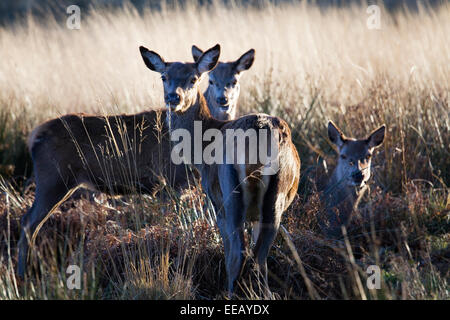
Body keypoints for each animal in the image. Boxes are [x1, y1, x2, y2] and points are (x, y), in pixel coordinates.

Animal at [140, 43, 302, 296]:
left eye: (194, 78)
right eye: (164, 76)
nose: (173, 97)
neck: (200, 153)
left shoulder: (215, 199)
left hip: (229, 188)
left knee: (239, 250)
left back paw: (230, 291)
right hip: (277, 191)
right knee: (260, 253)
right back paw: (264, 292)